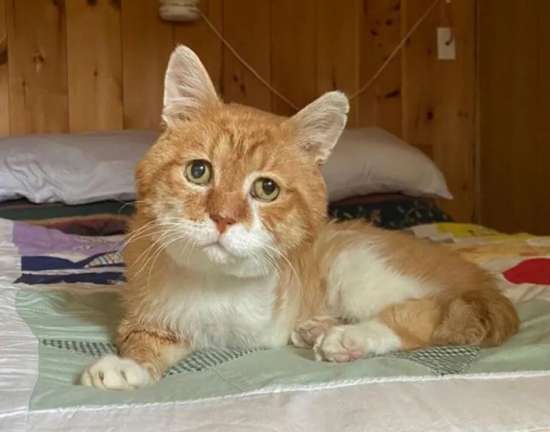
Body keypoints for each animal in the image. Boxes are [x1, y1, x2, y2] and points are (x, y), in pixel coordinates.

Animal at [80, 45, 520, 390]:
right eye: (198, 171)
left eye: (266, 189)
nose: (223, 217)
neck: (215, 284)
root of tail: (481, 279)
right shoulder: (152, 315)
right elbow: (143, 340)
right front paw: (129, 365)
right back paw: (318, 328)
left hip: (358, 265)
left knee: (429, 311)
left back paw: (350, 336)